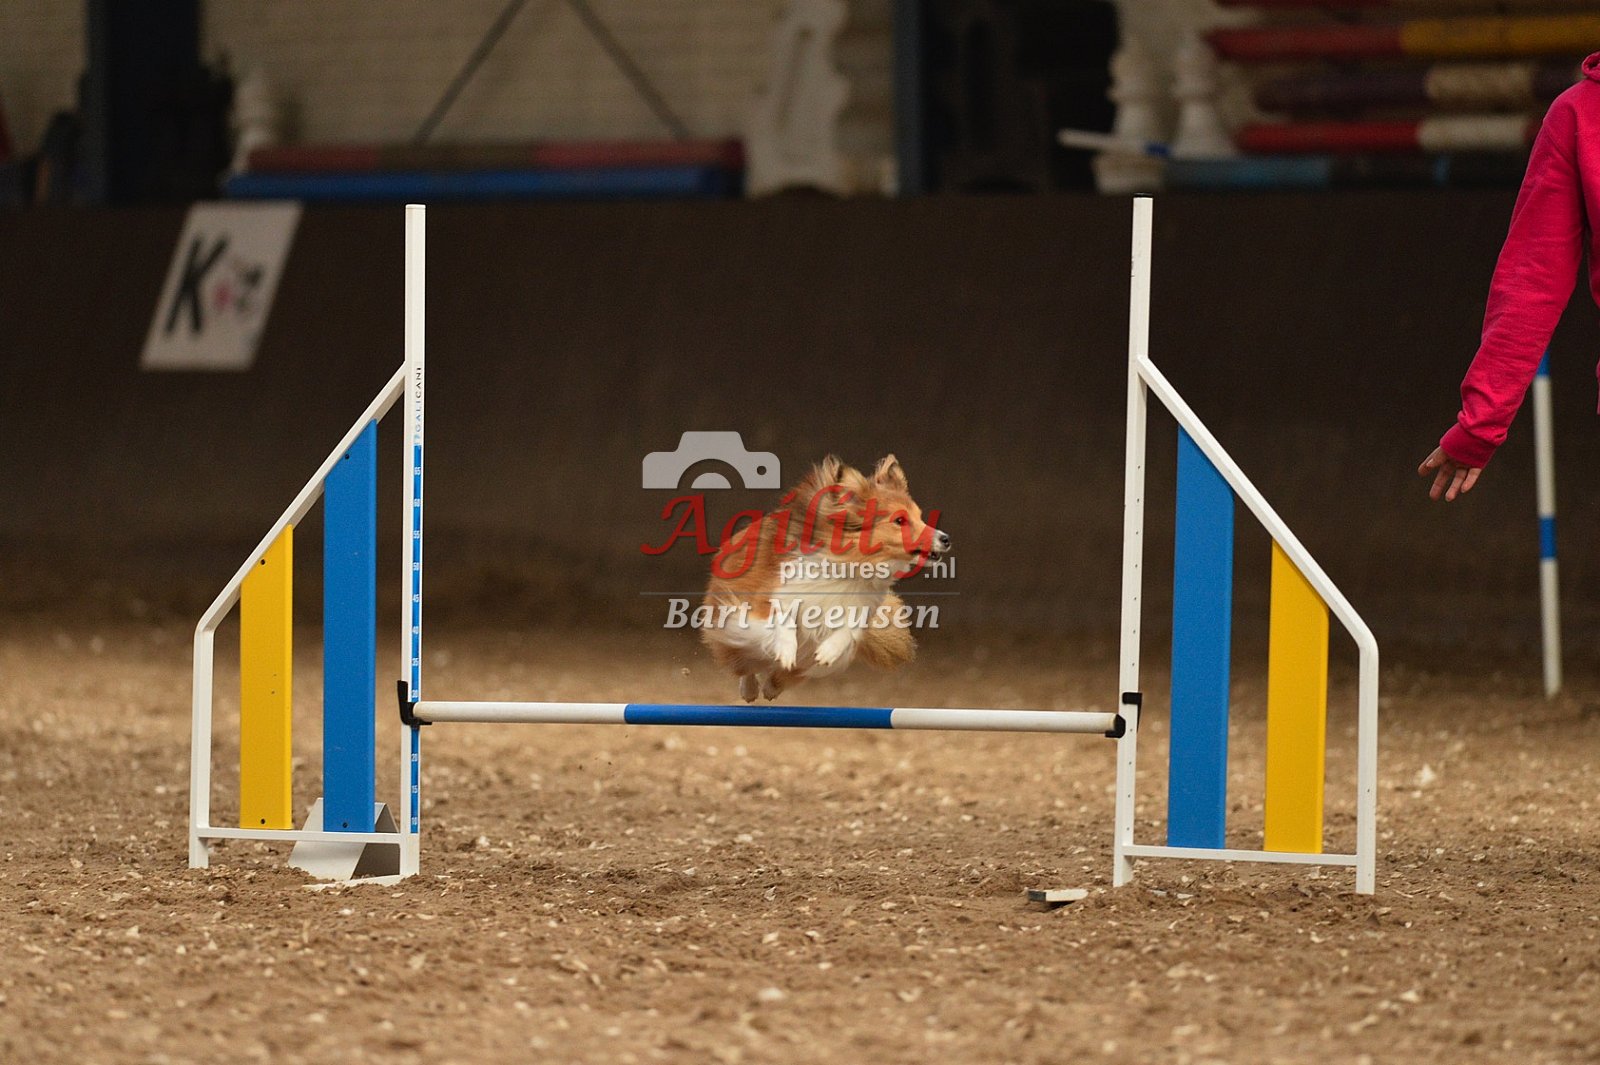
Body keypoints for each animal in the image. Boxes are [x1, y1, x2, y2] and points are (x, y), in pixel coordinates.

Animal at [700, 454, 951, 702]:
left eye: (920, 517)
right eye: (899, 520)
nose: (946, 539)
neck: (850, 564)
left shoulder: (861, 607)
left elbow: (849, 629)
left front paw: (827, 652)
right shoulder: (767, 596)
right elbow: (781, 618)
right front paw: (786, 650)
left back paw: (773, 686)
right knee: (744, 664)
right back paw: (751, 688)